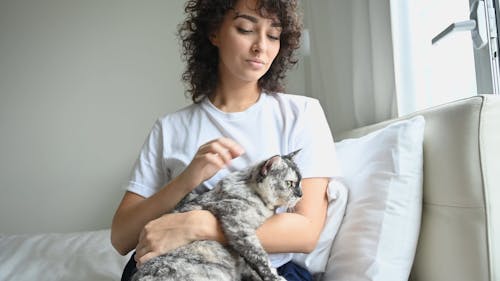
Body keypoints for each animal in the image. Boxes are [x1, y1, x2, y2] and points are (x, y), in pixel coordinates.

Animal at [131, 150, 302, 280]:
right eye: (290, 183)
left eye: (300, 182)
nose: (301, 194)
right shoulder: (237, 225)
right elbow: (259, 258)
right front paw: (275, 277)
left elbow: (251, 267)